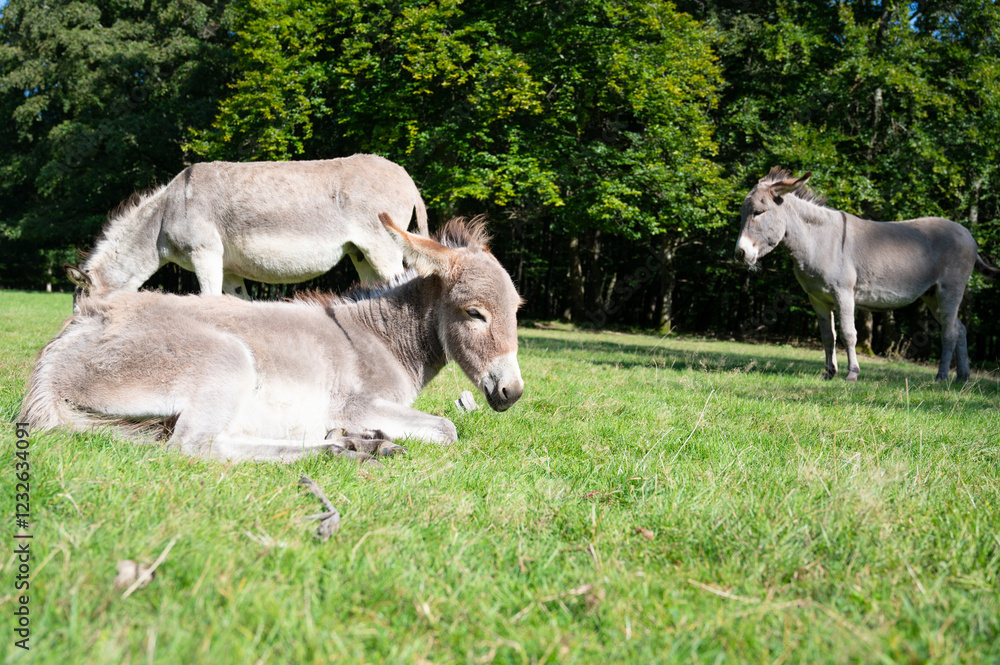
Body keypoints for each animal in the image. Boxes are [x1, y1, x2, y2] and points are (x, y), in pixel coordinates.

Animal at [20, 214, 523, 463]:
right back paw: (341, 448)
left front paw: (367, 436)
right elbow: (447, 428)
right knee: (196, 446)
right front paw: (363, 434)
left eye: (517, 311)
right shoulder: (357, 403)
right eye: (475, 313)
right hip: (225, 360)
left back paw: (358, 443)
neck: (382, 337)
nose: (513, 392)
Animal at [68, 154, 429, 299]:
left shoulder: (205, 255)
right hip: (360, 255)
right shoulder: (229, 269)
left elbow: (208, 301)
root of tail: (406, 176)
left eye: (83, 308)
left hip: (381, 248)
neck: (165, 215)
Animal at [735, 167, 1000, 382]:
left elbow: (848, 333)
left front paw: (852, 374)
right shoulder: (818, 298)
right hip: (932, 294)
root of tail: (969, 235)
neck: (817, 240)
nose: (740, 253)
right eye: (742, 214)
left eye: (758, 212)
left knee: (950, 332)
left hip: (949, 290)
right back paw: (962, 377)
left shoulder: (843, 294)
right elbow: (827, 336)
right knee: (960, 329)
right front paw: (828, 373)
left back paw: (942, 377)